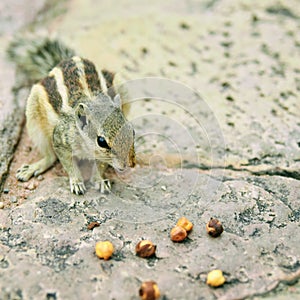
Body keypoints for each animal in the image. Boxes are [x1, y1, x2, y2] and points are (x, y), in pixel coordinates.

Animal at [7, 37, 136, 196]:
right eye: (101, 141)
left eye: (132, 131)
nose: (127, 165)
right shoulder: (60, 139)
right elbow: (68, 163)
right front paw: (77, 182)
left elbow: (100, 164)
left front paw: (99, 180)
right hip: (33, 115)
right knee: (49, 156)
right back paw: (32, 168)